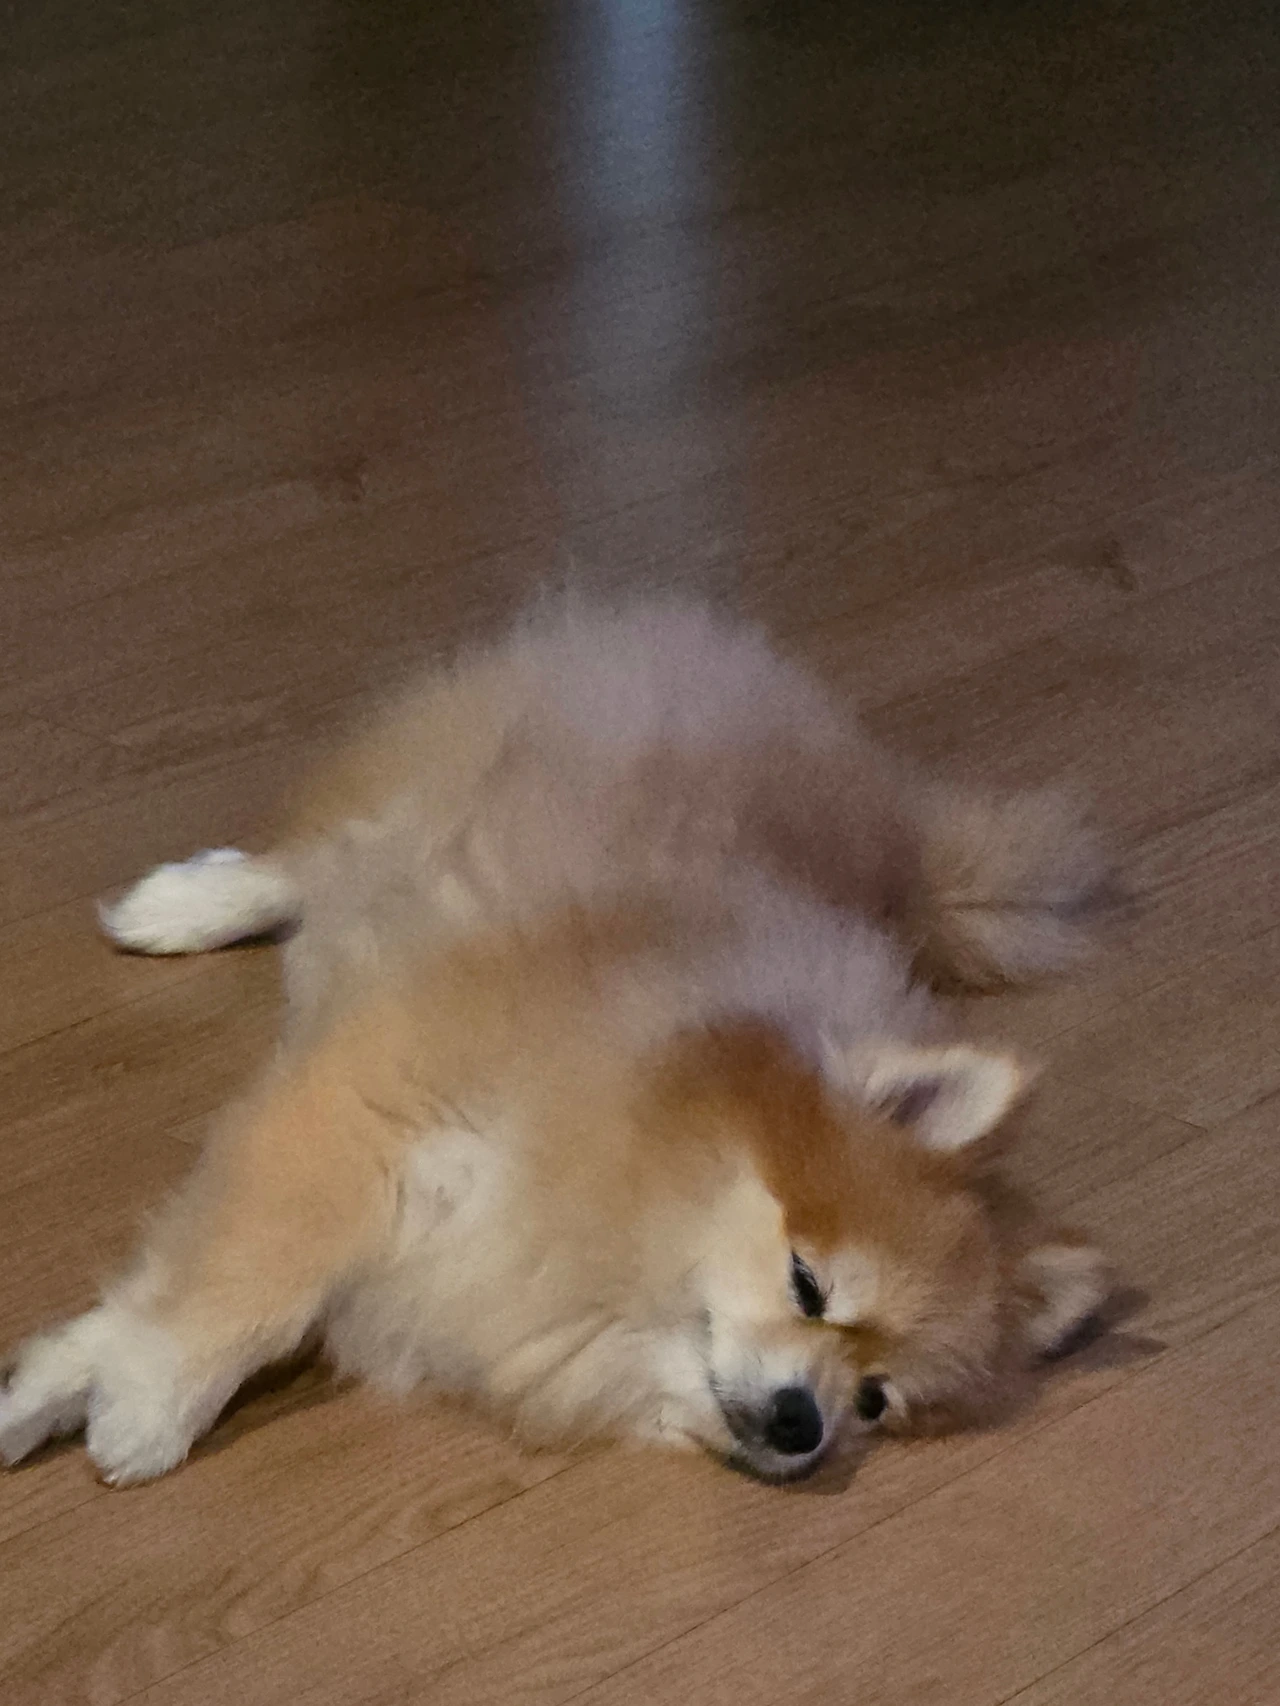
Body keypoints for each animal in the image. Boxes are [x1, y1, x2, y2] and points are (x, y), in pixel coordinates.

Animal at [0, 599, 1114, 1486]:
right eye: (808, 1283)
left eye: (874, 1398)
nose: (804, 1424)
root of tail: (907, 857)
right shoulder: (364, 1121)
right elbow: (246, 1288)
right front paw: (148, 1405)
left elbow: (140, 1300)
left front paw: (45, 1389)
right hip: (438, 790)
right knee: (307, 864)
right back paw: (181, 904)